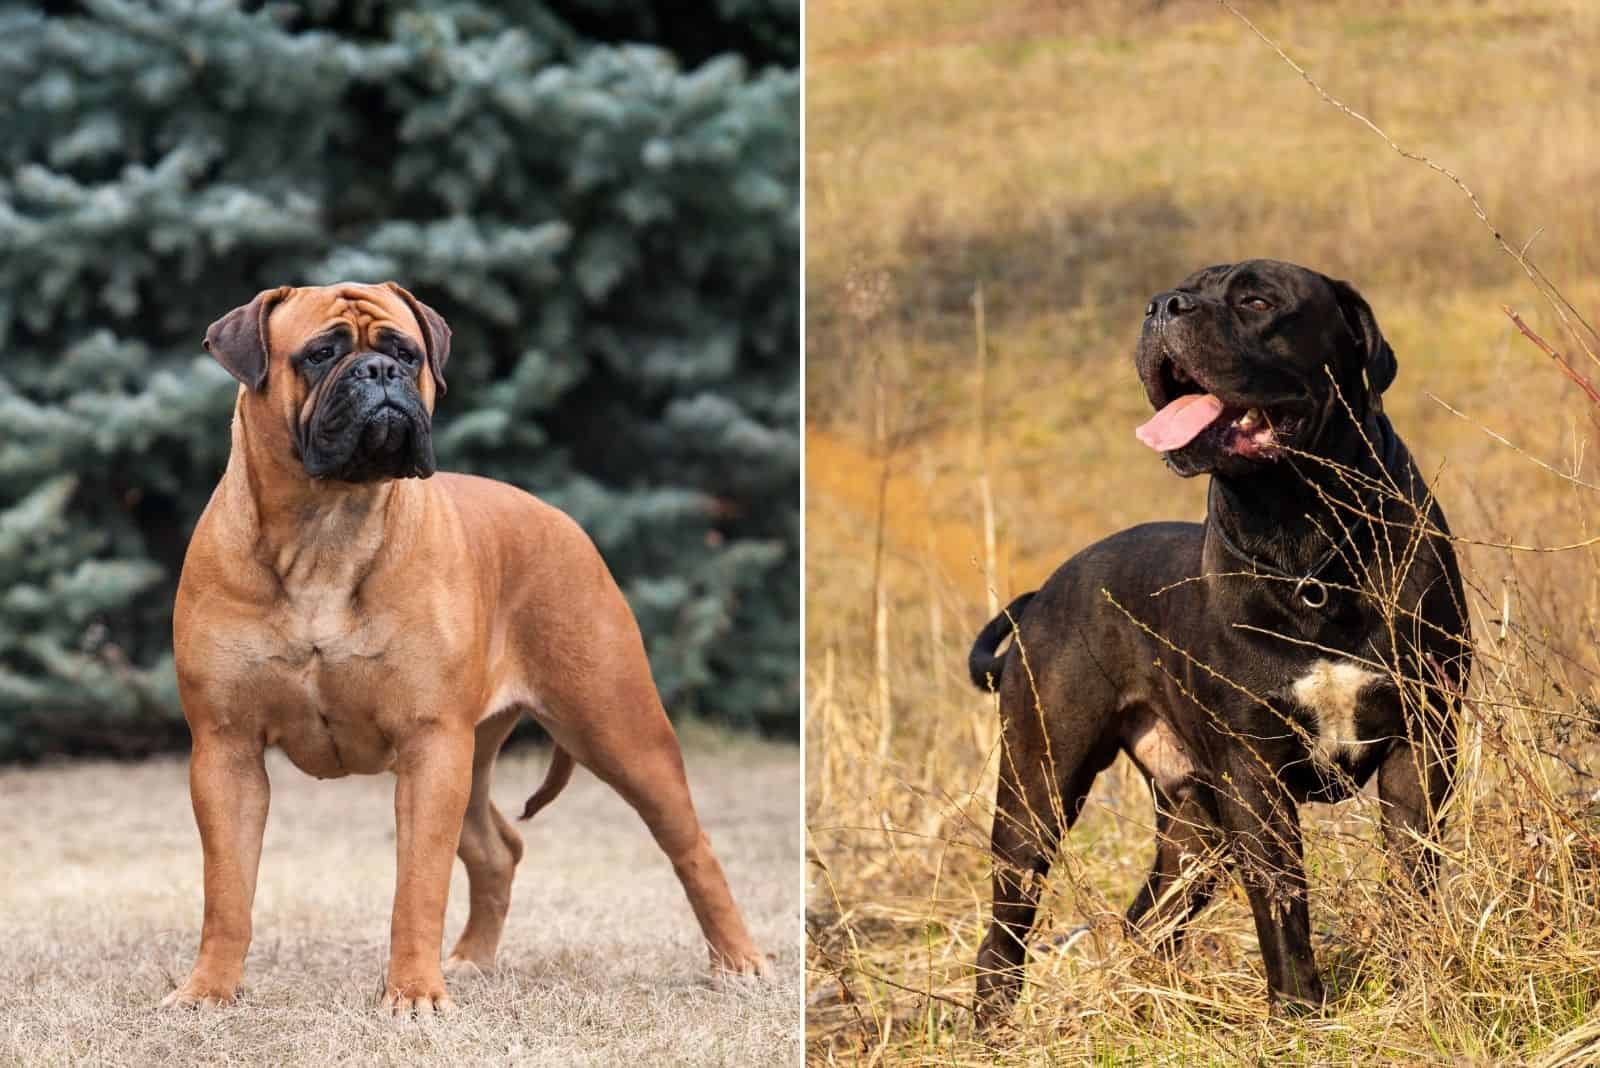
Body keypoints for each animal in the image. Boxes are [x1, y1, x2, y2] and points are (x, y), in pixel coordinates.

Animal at [966, 259, 1465, 1016]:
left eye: (1257, 301)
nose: (1162, 306)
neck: (1301, 539)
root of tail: (1042, 593)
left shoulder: (1422, 742)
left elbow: (1412, 873)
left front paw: (1423, 978)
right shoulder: (1254, 773)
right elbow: (1282, 902)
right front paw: (1300, 1014)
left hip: (1196, 827)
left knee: (1148, 919)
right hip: (1039, 787)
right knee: (1004, 932)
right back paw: (998, 1024)